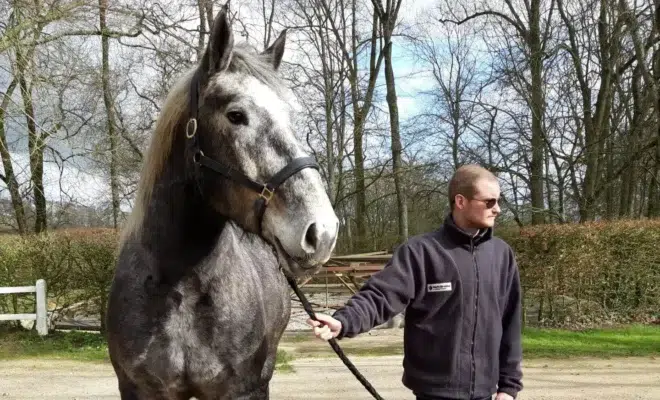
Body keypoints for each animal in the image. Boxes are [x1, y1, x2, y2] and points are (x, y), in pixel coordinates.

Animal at [106, 4, 340, 398]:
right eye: (236, 115)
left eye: (289, 118)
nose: (321, 232)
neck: (179, 285)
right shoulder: (141, 390)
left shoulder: (244, 388)